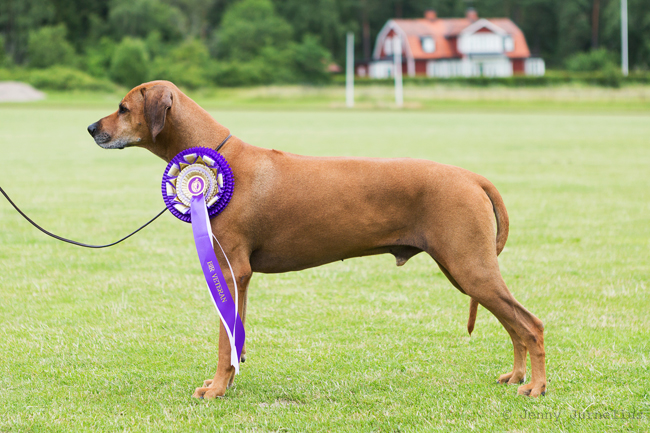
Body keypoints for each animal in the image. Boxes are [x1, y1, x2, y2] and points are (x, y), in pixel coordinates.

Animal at [85, 81, 540, 398]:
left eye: (123, 108)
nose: (91, 128)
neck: (217, 158)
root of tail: (471, 176)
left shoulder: (232, 270)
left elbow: (221, 342)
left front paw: (214, 390)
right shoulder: (241, 275)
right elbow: (235, 337)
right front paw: (227, 384)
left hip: (470, 266)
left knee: (530, 325)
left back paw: (535, 386)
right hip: (466, 269)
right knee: (514, 325)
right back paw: (517, 375)